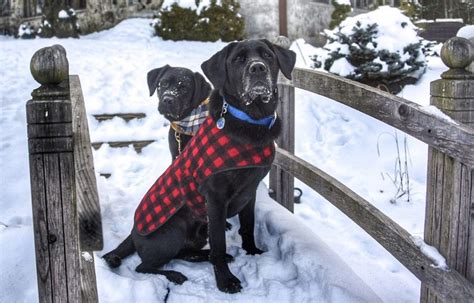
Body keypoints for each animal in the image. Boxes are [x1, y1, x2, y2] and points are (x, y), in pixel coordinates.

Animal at [104, 40, 296, 294]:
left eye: (267, 56)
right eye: (238, 59)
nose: (257, 68)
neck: (251, 119)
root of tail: (133, 232)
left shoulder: (250, 190)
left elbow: (247, 225)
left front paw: (252, 252)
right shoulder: (214, 198)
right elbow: (219, 243)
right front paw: (225, 280)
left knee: (184, 253)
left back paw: (202, 256)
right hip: (173, 230)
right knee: (144, 266)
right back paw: (175, 274)